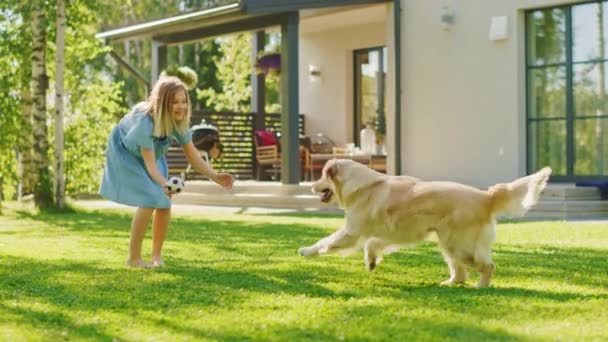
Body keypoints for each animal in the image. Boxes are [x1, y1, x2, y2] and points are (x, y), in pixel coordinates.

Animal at [298, 159, 552, 288]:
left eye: (321, 176)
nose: (311, 186)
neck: (361, 185)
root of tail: (486, 196)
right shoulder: (391, 233)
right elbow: (372, 244)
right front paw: (371, 262)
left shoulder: (351, 231)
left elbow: (325, 242)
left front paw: (306, 251)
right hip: (449, 244)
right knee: (461, 272)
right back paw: (450, 283)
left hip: (459, 245)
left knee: (488, 266)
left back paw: (480, 287)